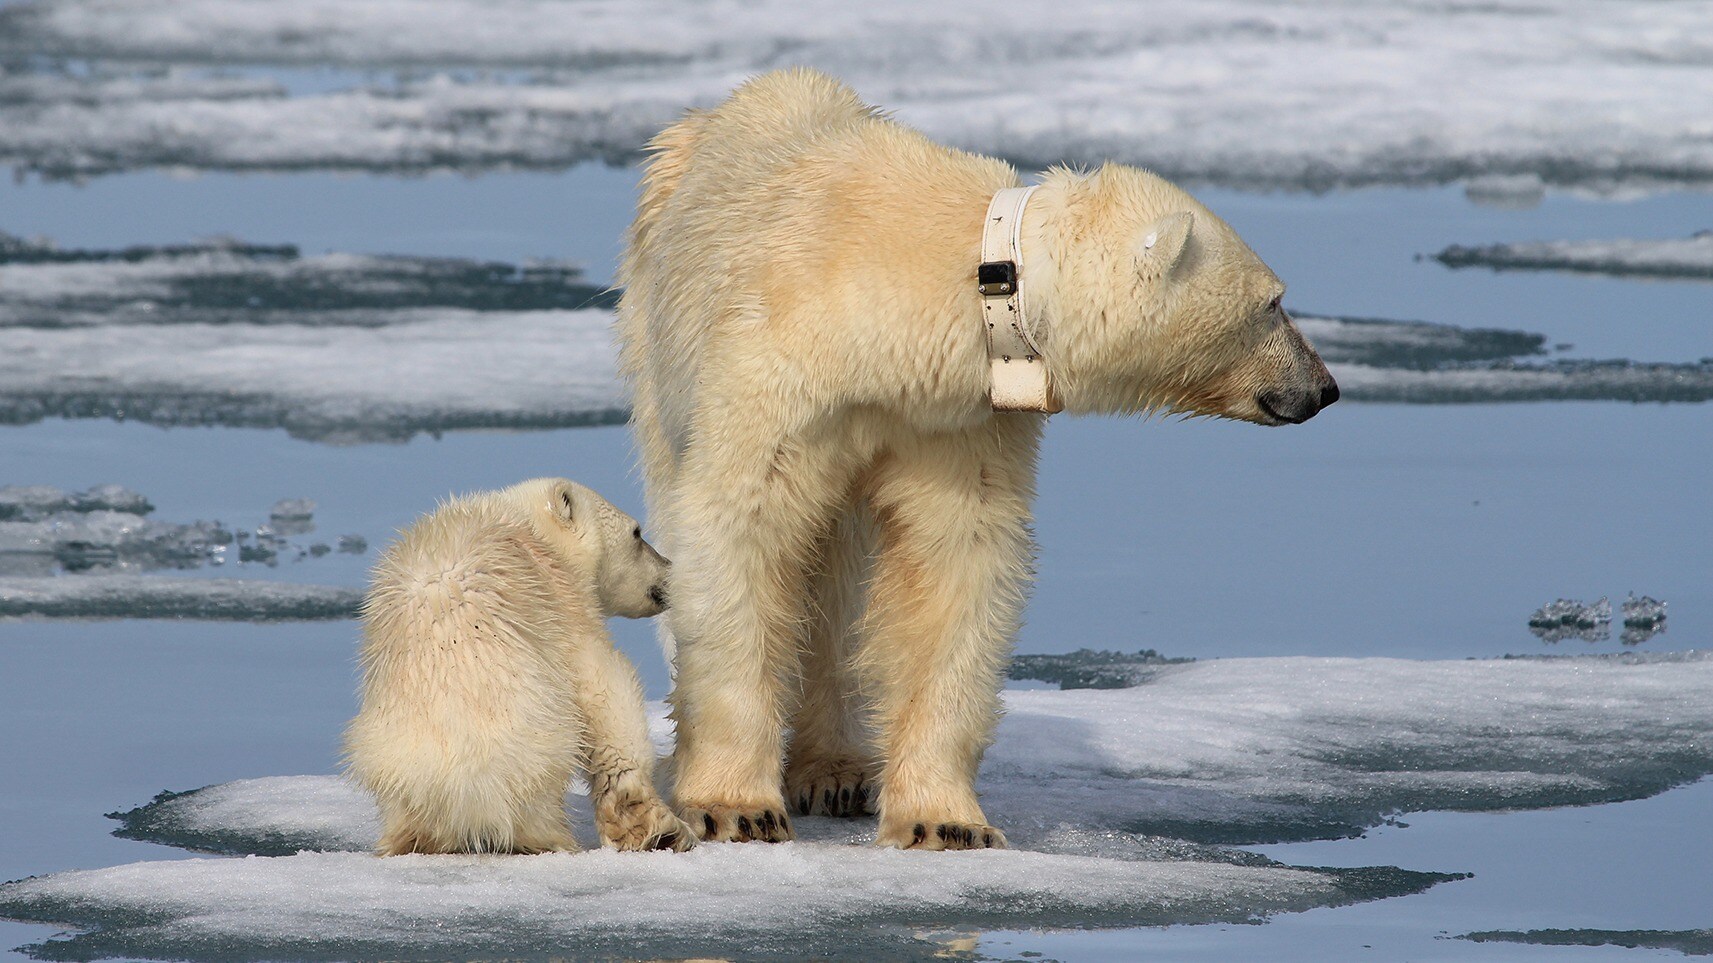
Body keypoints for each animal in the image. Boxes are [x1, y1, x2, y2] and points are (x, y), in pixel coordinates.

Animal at [616, 69, 1336, 846]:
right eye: (1274, 303)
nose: (1323, 387)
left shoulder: (958, 413)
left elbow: (955, 559)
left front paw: (944, 822)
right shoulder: (778, 371)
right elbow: (741, 531)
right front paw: (736, 806)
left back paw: (837, 769)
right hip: (652, 329)